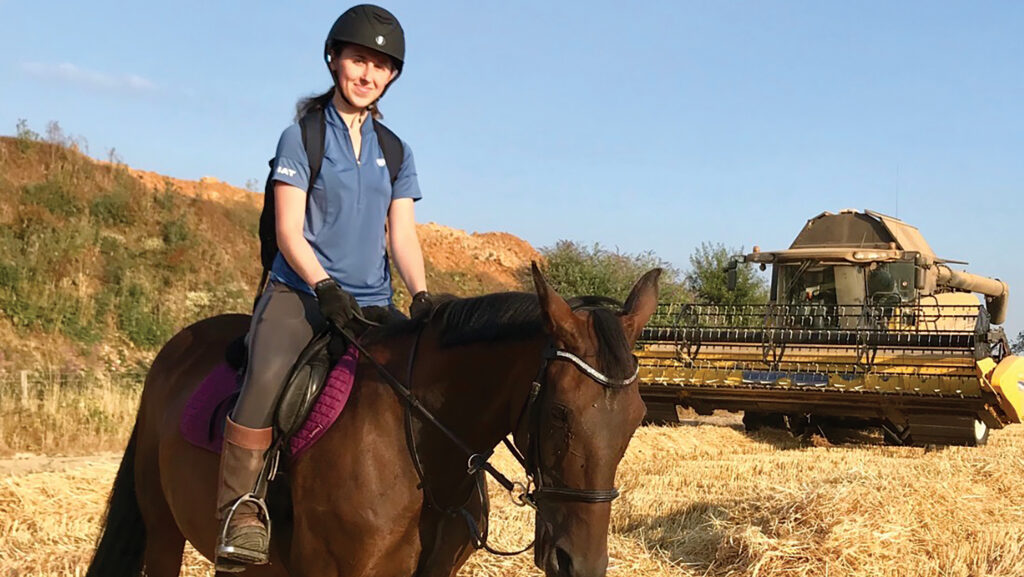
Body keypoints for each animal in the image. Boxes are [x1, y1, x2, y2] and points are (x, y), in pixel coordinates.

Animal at [86, 264, 660, 577]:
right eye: (560, 413)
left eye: (636, 420)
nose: (578, 565)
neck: (423, 455)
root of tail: (174, 349)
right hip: (163, 531)